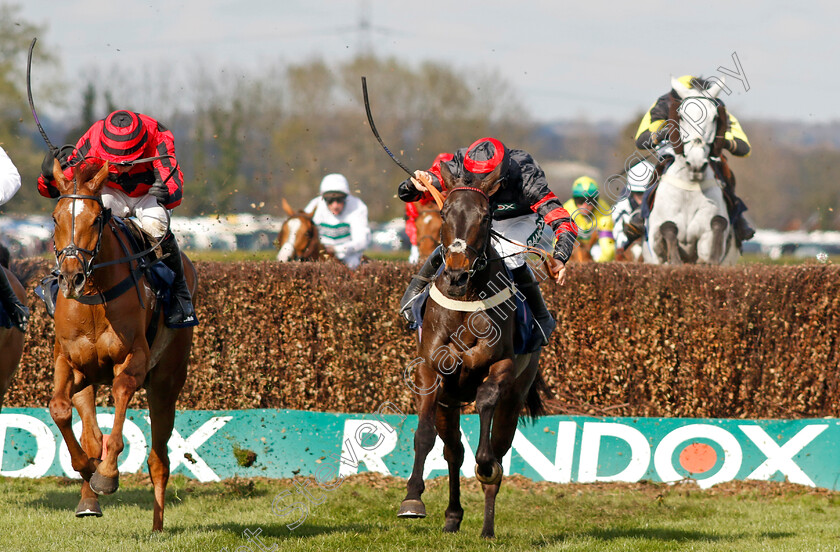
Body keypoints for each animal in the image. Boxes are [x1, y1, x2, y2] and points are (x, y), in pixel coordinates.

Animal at [47, 158, 197, 532]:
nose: (71, 278)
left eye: (95, 219)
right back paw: (88, 497)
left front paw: (107, 474)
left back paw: (157, 526)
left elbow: (121, 393)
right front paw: (87, 468)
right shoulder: (68, 362)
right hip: (88, 380)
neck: (94, 296)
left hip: (166, 385)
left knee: (159, 458)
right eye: (55, 217)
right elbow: (59, 409)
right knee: (90, 432)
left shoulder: (134, 358)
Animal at [400, 162, 552, 536]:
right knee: (453, 451)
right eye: (444, 213)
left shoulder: (502, 367)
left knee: (498, 450)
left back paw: (487, 527)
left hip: (515, 396)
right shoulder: (430, 371)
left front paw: (485, 465)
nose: (457, 275)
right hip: (448, 401)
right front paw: (413, 499)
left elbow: (486, 417)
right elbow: (424, 435)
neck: (465, 300)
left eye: (485, 217)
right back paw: (453, 516)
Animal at [644, 76, 736, 266]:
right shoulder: (655, 239)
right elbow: (666, 228)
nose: (696, 163)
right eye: (681, 116)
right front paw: (675, 260)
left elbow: (717, 226)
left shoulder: (706, 239)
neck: (689, 186)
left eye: (715, 117)